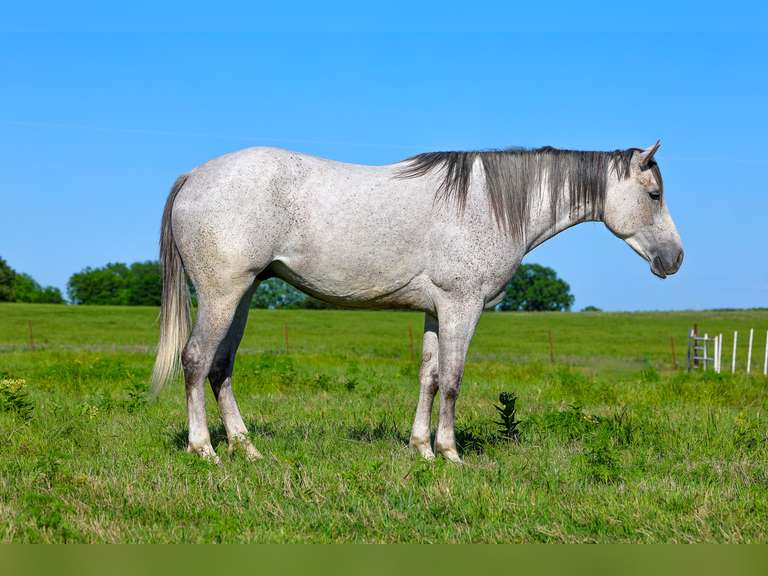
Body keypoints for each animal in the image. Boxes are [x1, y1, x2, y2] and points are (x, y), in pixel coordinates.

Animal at [151, 141, 683, 463]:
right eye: (654, 195)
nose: (675, 258)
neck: (486, 203)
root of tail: (195, 175)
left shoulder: (434, 310)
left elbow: (428, 376)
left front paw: (422, 448)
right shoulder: (462, 306)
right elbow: (452, 380)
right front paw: (450, 452)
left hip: (242, 295)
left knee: (221, 367)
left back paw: (246, 448)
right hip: (222, 294)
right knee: (195, 361)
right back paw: (204, 448)